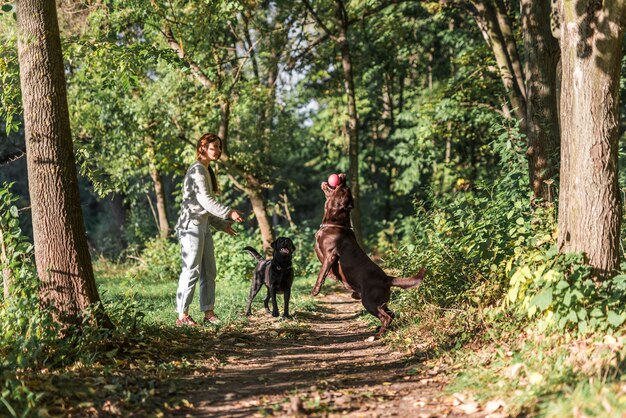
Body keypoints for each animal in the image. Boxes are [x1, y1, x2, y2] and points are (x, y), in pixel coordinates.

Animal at [312, 175, 424, 338]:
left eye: (344, 188)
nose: (343, 175)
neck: (334, 224)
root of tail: (387, 278)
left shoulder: (330, 255)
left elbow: (322, 272)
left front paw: (315, 290)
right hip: (379, 301)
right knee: (391, 313)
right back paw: (380, 331)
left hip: (369, 301)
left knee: (386, 317)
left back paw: (377, 335)